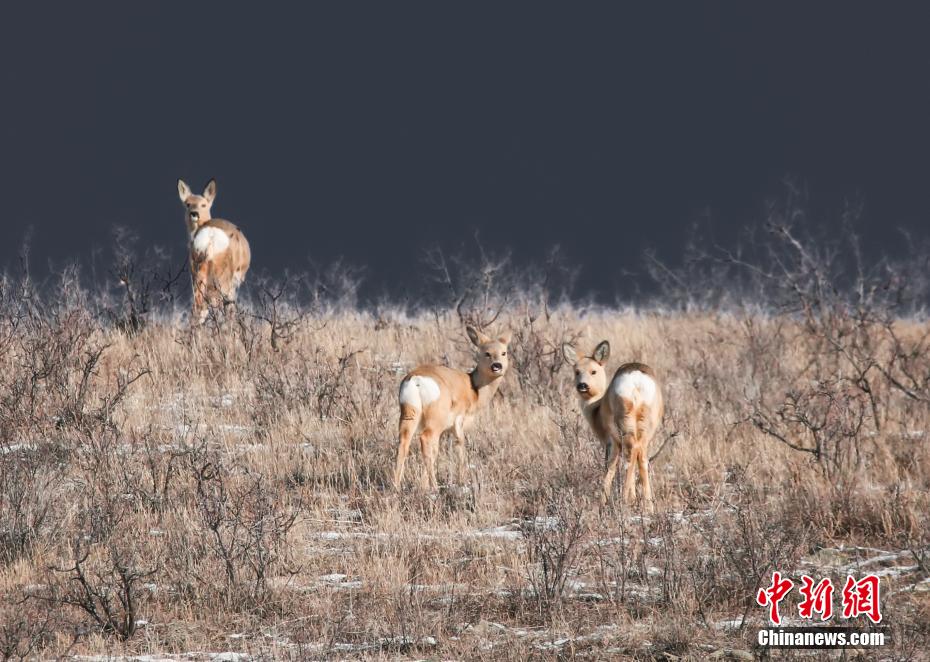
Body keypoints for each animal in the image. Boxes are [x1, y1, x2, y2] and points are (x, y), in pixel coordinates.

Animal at [176, 179, 250, 326]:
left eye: (203, 204)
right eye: (187, 204)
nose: (194, 213)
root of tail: (210, 238)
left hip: (198, 273)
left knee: (198, 307)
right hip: (222, 279)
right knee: (218, 308)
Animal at [390, 326, 512, 492]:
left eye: (504, 352)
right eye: (486, 352)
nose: (497, 366)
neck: (474, 390)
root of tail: (416, 380)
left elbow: (436, 452)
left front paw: (423, 486)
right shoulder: (459, 422)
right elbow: (460, 447)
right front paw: (462, 481)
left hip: (409, 414)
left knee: (404, 442)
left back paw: (396, 486)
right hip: (435, 419)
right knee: (425, 439)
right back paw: (435, 487)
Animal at [560, 342, 664, 512]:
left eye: (593, 371)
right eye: (577, 371)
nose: (582, 385)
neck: (597, 409)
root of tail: (637, 380)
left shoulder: (611, 441)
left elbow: (610, 466)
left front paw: (601, 502)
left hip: (624, 422)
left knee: (629, 456)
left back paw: (624, 500)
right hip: (647, 425)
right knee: (641, 456)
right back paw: (648, 506)